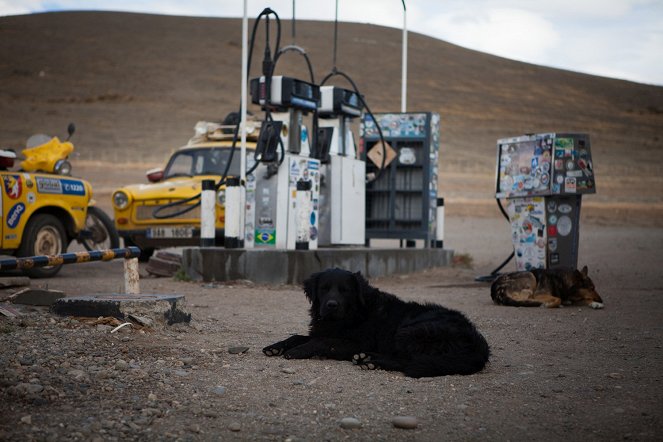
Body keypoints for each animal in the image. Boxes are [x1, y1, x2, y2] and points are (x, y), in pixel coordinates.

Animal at [262, 268, 490, 378]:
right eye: (324, 288)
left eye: (345, 290)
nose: (331, 305)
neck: (352, 314)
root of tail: (479, 343)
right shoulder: (322, 330)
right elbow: (298, 336)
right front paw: (276, 347)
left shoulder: (358, 342)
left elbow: (322, 341)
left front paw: (298, 351)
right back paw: (367, 358)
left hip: (409, 331)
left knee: (408, 360)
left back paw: (372, 361)